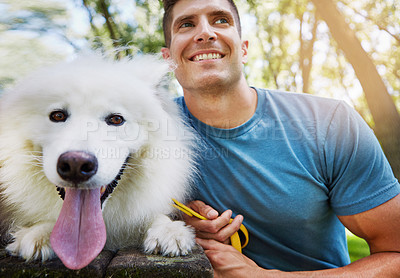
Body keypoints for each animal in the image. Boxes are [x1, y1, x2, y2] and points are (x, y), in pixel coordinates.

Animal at [0, 54, 195, 270]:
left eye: (116, 119)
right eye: (58, 115)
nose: (76, 165)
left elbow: (156, 214)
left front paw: (168, 231)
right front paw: (38, 233)